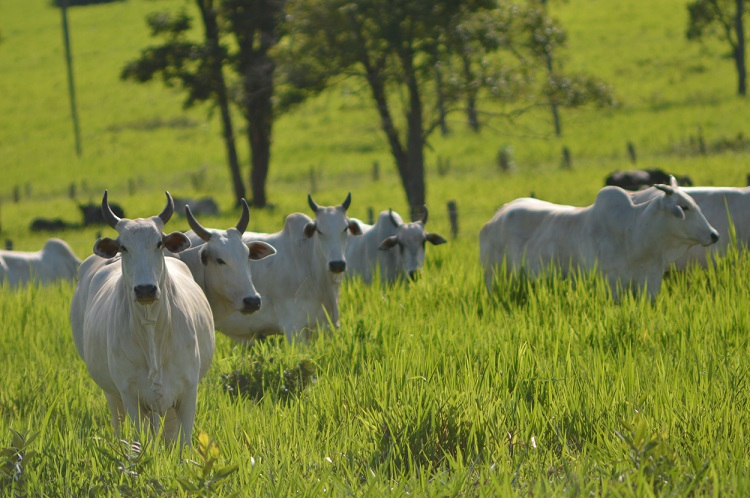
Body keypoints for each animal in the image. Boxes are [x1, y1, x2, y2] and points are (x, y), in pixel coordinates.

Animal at [70, 192, 214, 448]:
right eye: (123, 247)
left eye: (159, 243)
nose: (145, 289)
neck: (152, 330)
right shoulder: (131, 397)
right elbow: (141, 442)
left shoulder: (188, 393)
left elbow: (182, 443)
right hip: (113, 394)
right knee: (119, 422)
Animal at [482, 184, 724, 298]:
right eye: (684, 207)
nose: (714, 235)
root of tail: (497, 215)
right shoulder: (611, 284)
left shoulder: (650, 283)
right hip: (494, 278)